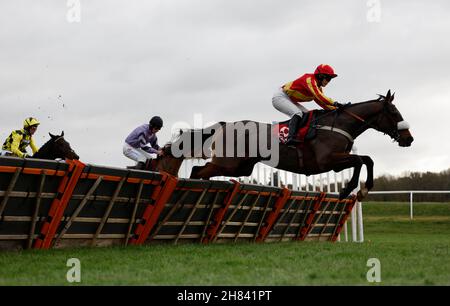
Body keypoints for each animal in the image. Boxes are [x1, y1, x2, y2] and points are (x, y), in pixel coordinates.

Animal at [154, 90, 412, 201]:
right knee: (199, 171)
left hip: (241, 167)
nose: (409, 138)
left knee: (202, 172)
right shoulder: (326, 161)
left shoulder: (337, 162)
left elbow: (367, 159)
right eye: (394, 112)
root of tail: (224, 125)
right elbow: (360, 160)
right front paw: (349, 190)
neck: (338, 124)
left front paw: (364, 189)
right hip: (229, 164)